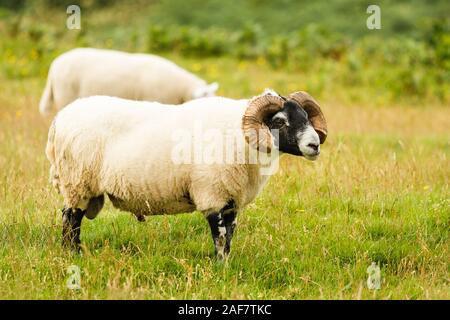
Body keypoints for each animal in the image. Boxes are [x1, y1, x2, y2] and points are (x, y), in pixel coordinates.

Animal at [46, 90, 326, 260]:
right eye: (279, 121)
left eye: (305, 117)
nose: (314, 145)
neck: (240, 138)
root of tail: (59, 119)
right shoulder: (212, 195)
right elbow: (219, 236)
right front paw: (219, 268)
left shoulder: (231, 202)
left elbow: (230, 236)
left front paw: (227, 263)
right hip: (78, 182)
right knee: (70, 220)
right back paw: (72, 255)